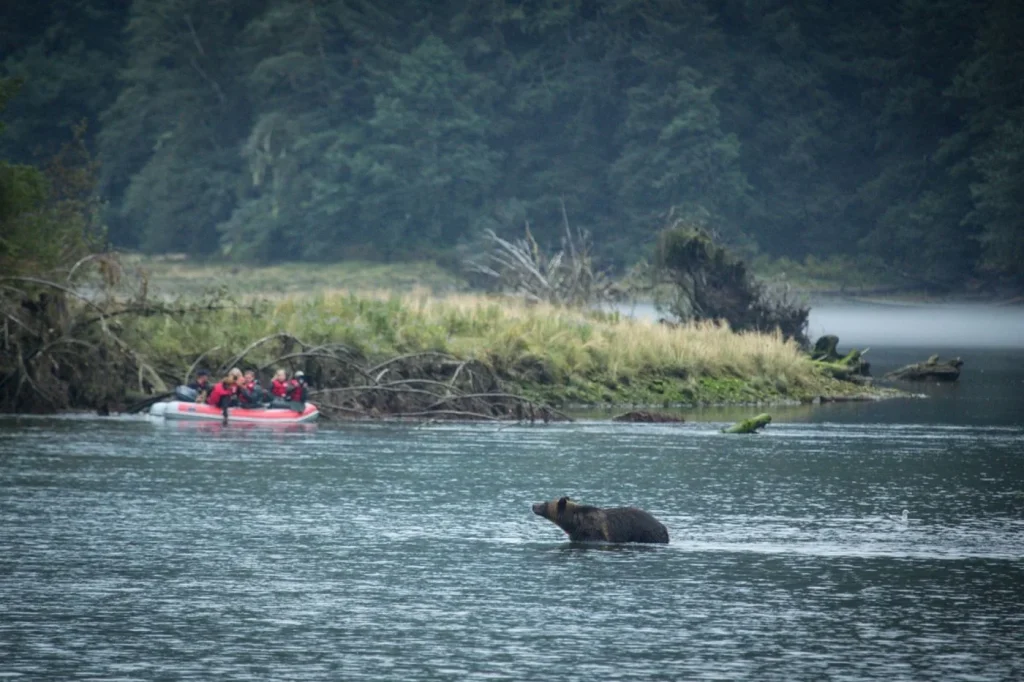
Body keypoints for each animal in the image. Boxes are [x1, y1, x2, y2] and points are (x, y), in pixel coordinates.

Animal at [532, 496, 669, 544]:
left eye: (545, 503)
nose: (533, 505)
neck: (574, 522)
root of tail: (664, 527)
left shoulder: (592, 531)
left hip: (647, 533)